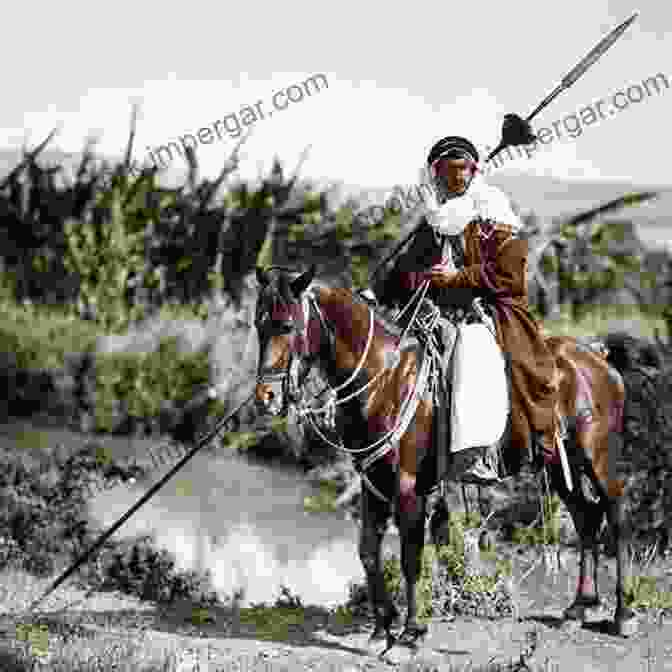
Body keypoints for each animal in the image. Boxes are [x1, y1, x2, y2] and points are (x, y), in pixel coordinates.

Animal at [252, 262, 636, 644]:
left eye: (287, 326)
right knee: (587, 517)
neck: (385, 378)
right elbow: (369, 553)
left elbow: (410, 556)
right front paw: (382, 626)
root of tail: (600, 361)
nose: (265, 397)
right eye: (258, 324)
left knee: (615, 515)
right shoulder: (374, 480)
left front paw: (410, 633)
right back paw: (580, 606)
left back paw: (622, 614)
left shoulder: (409, 485)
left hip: (597, 458)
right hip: (559, 464)